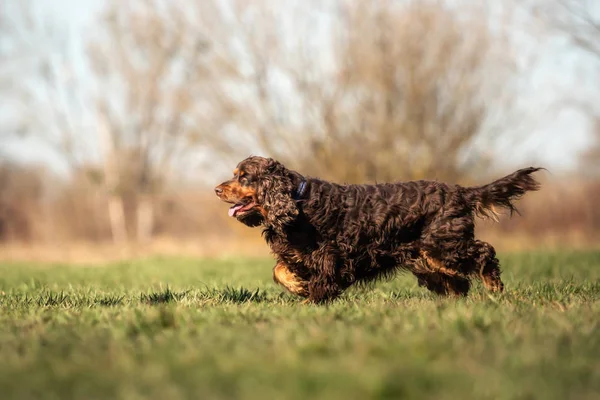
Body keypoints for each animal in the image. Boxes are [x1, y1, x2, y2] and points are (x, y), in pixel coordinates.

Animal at [213, 156, 540, 304]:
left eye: (244, 176)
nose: (217, 189)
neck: (297, 201)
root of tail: (461, 192)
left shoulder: (329, 255)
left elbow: (322, 282)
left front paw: (309, 300)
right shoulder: (296, 254)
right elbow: (279, 271)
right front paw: (298, 286)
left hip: (443, 245)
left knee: (485, 252)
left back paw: (494, 289)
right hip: (426, 256)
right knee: (458, 280)